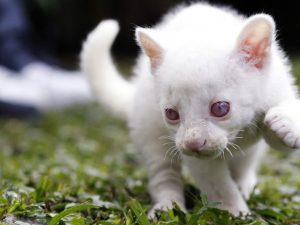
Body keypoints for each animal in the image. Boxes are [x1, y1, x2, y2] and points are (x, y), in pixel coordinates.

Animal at [81, 1, 300, 216]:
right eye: (171, 113)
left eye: (220, 108)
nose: (193, 143)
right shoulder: (196, 156)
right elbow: (218, 185)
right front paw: (235, 212)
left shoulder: (276, 87)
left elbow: (282, 129)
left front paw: (285, 123)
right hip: (150, 130)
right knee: (163, 173)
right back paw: (167, 207)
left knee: (244, 162)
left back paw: (244, 184)